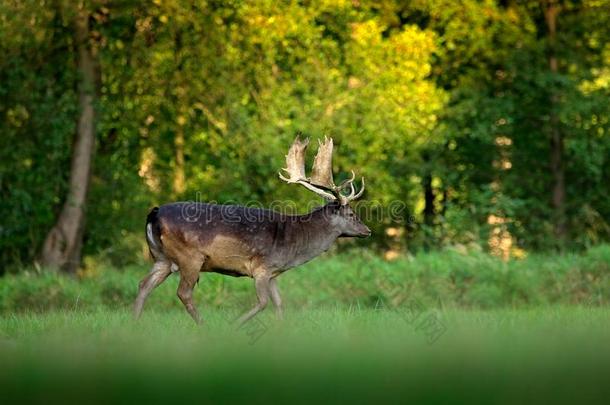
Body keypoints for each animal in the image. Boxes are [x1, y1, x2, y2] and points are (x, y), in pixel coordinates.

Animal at [133, 136, 368, 326]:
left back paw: (134, 323)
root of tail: (154, 213)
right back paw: (204, 326)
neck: (293, 245)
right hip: (190, 257)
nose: (367, 230)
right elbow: (263, 302)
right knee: (183, 292)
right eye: (351, 214)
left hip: (162, 258)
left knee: (144, 285)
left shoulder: (273, 272)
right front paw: (235, 324)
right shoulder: (261, 267)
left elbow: (279, 303)